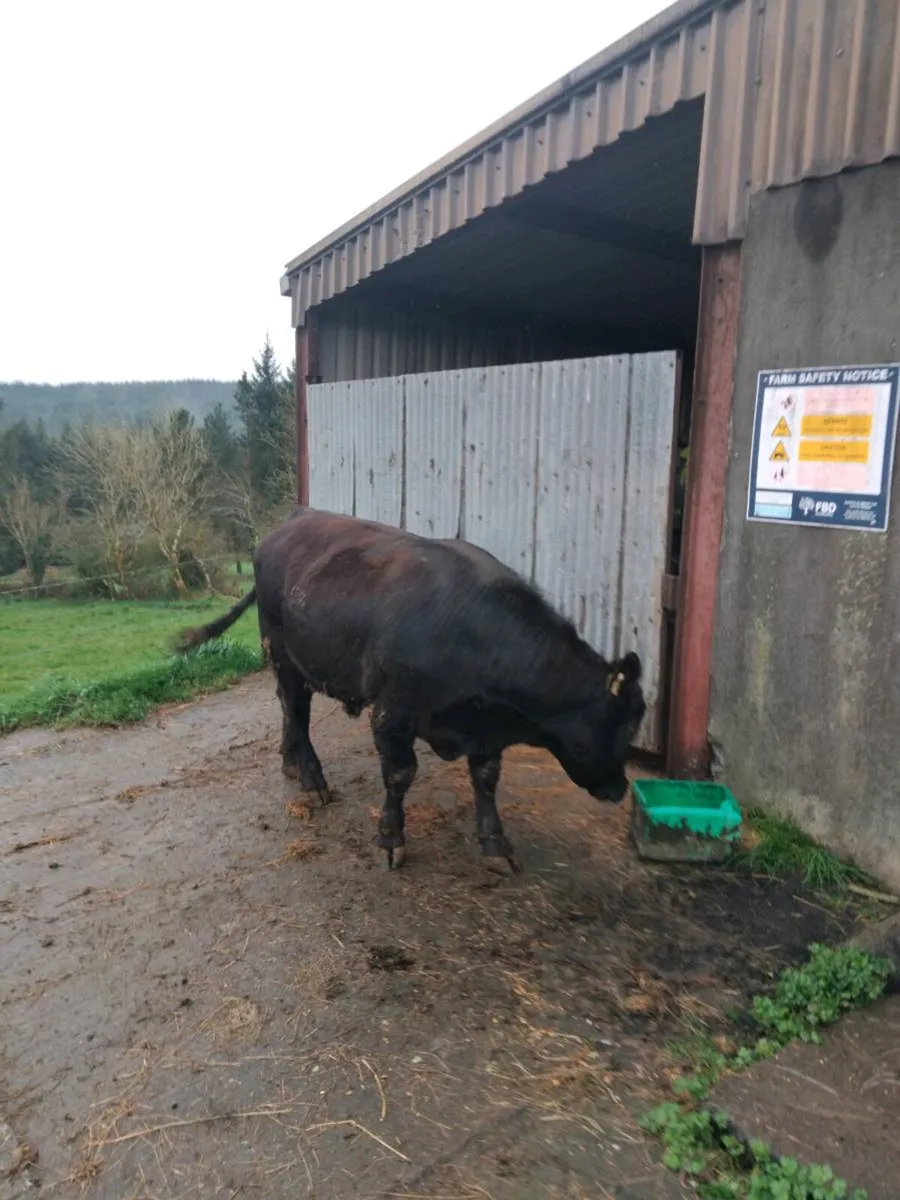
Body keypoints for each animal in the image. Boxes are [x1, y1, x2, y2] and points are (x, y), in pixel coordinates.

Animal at [177, 508, 646, 873]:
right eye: (625, 724)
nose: (619, 789)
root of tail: (293, 520)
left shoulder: (485, 730)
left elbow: (486, 779)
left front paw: (495, 845)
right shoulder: (392, 714)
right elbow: (400, 775)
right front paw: (390, 839)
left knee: (291, 708)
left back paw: (290, 763)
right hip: (279, 648)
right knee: (295, 708)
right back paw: (311, 777)